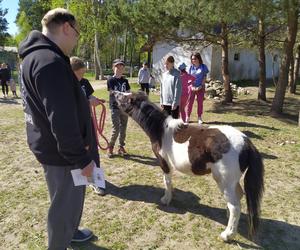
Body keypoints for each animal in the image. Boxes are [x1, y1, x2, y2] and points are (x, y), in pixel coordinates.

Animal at [113, 91, 264, 241]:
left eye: (125, 97)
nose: (114, 93)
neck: (161, 131)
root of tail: (247, 142)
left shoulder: (164, 163)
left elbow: (167, 181)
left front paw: (166, 199)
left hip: (224, 182)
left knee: (235, 206)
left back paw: (227, 234)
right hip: (231, 182)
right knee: (238, 195)